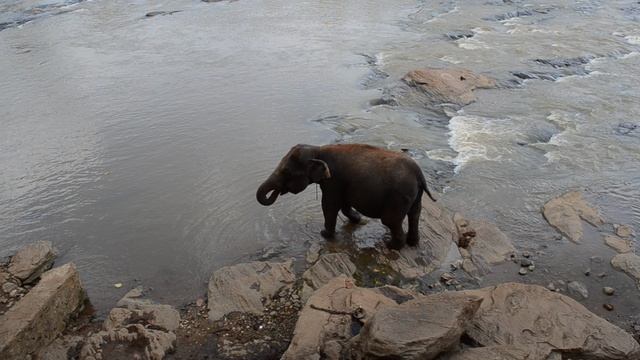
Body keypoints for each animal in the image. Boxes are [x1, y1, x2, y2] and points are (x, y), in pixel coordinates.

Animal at [254, 142, 436, 249]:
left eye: (286, 172)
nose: (278, 191)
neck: (317, 149)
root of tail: (419, 174)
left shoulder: (334, 180)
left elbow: (329, 205)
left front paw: (324, 235)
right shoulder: (343, 183)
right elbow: (343, 203)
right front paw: (357, 219)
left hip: (398, 196)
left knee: (390, 221)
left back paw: (390, 246)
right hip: (414, 195)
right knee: (414, 214)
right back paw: (412, 243)